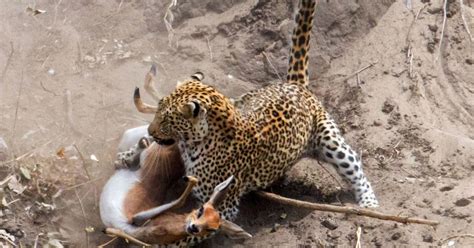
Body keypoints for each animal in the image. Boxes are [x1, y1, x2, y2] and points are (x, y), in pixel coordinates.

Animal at [121, 0, 378, 223]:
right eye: (159, 112)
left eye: (167, 120)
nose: (151, 130)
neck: (199, 142)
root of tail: (294, 84)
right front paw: (129, 154)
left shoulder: (223, 205)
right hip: (244, 98)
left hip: (329, 138)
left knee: (354, 165)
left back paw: (369, 204)